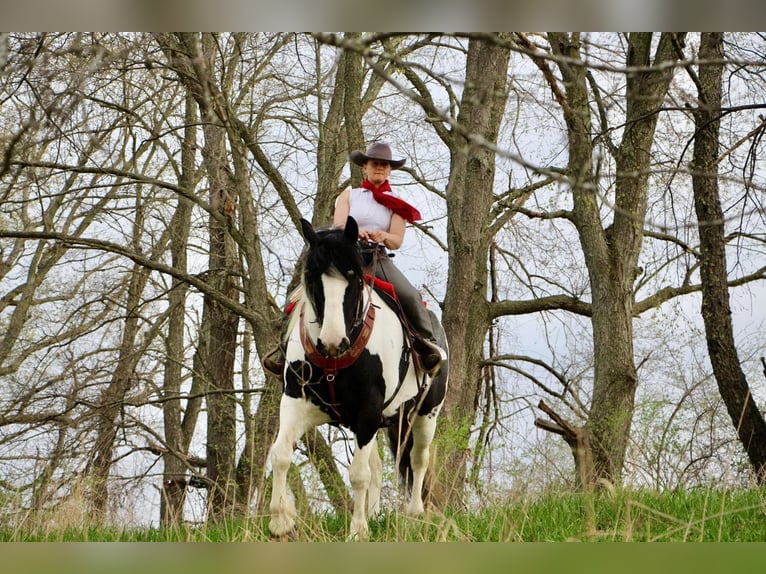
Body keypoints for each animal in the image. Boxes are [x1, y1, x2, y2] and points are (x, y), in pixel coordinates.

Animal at [270, 218, 450, 544]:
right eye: (312, 276)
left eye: (353, 275)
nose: (332, 341)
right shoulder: (296, 403)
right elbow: (280, 454)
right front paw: (280, 524)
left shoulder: (367, 413)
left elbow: (358, 474)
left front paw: (357, 532)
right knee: (379, 467)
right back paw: (376, 515)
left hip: (425, 415)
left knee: (418, 459)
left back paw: (415, 516)